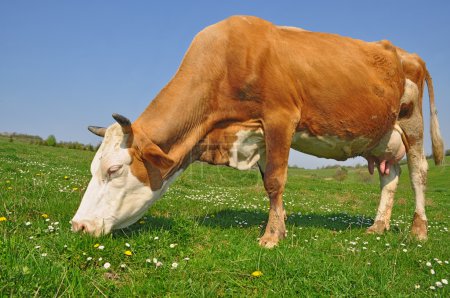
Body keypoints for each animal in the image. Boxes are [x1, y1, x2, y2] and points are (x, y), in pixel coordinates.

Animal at [71, 16, 442, 249]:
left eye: (114, 169)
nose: (79, 226)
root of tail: (406, 53)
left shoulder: (280, 118)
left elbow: (275, 181)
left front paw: (271, 237)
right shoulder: (258, 135)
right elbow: (268, 184)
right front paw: (279, 226)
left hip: (413, 123)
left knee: (418, 174)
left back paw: (419, 231)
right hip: (382, 136)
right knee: (389, 178)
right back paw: (378, 226)